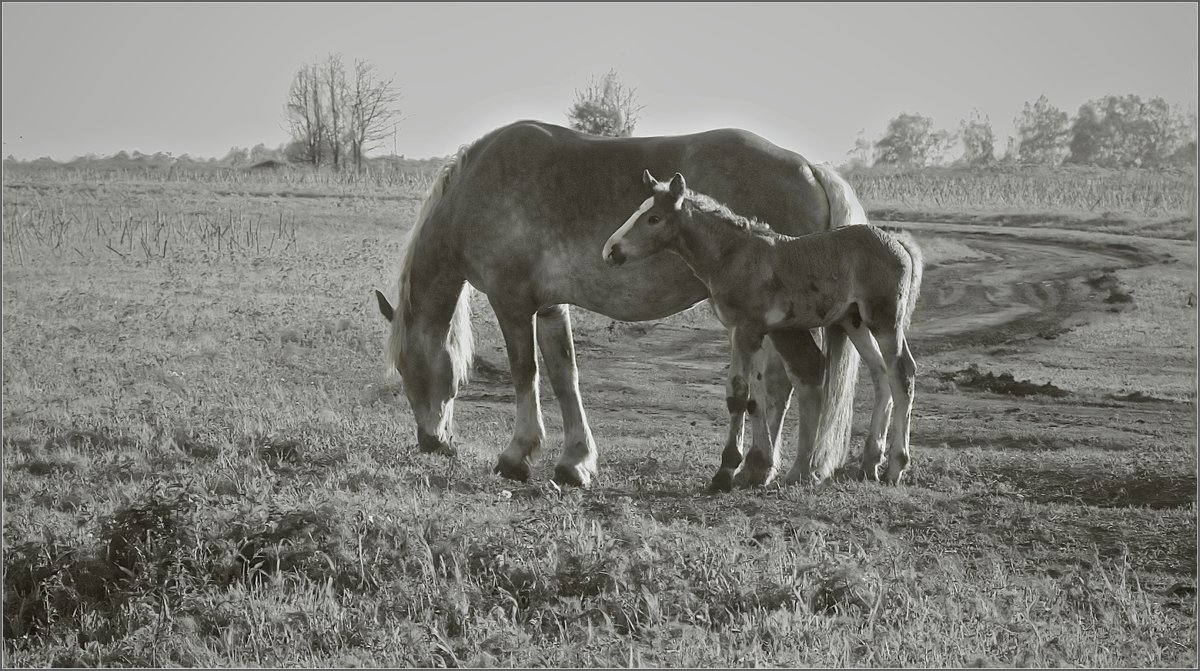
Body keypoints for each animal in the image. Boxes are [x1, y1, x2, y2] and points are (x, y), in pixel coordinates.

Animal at [369, 120, 868, 487]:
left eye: (408, 370)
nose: (431, 443)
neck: (476, 188)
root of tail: (811, 168)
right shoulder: (550, 308)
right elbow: (564, 376)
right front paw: (575, 462)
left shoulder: (511, 303)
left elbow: (525, 373)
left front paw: (517, 455)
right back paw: (758, 467)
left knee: (791, 379)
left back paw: (772, 468)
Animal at [604, 170, 921, 487]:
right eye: (639, 211)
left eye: (654, 218)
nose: (611, 251)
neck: (734, 255)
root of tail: (897, 242)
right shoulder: (743, 331)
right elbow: (750, 396)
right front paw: (749, 468)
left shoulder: (747, 330)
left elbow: (740, 394)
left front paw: (726, 472)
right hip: (854, 322)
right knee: (880, 373)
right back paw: (869, 464)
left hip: (885, 320)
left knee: (902, 373)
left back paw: (895, 467)